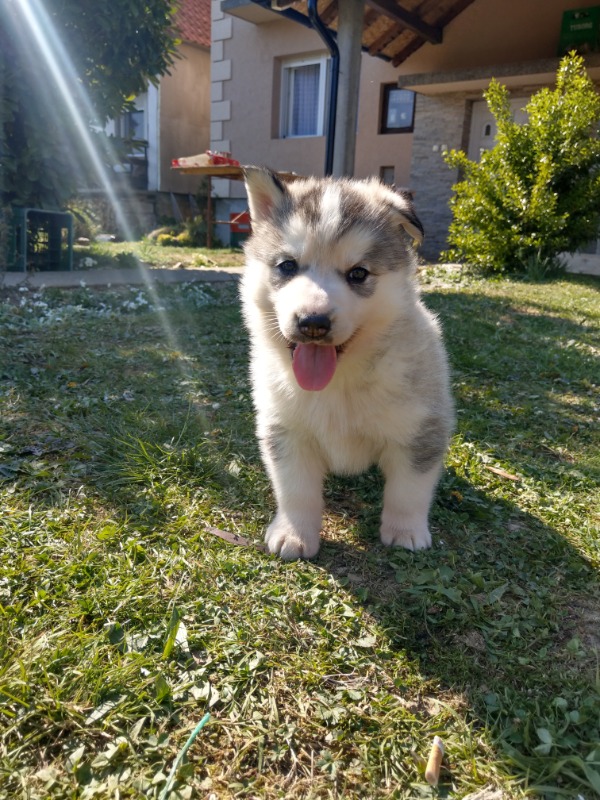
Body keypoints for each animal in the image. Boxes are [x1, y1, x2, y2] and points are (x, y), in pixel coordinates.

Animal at [241, 166, 452, 560]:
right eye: (287, 266)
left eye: (358, 274)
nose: (313, 322)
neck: (337, 381)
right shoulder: (286, 430)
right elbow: (295, 490)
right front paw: (294, 533)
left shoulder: (418, 429)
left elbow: (409, 489)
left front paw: (405, 531)